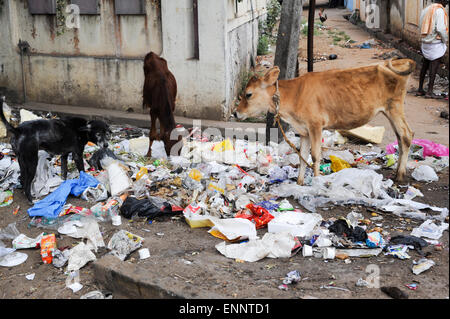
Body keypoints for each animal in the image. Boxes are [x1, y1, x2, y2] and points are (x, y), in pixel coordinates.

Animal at [236, 58, 414, 185]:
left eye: (248, 94)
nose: (237, 113)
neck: (295, 95)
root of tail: (398, 61)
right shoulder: (303, 131)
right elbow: (302, 156)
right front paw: (299, 182)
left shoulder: (315, 125)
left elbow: (315, 156)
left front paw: (316, 181)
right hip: (390, 110)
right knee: (400, 137)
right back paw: (397, 171)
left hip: (394, 107)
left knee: (406, 135)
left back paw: (400, 175)